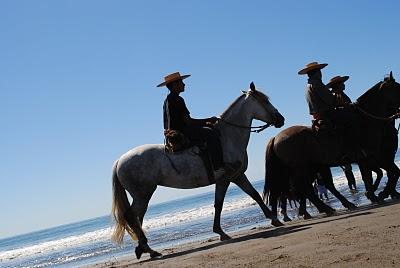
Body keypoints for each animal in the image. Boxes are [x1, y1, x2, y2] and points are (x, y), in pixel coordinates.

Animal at [110, 82, 284, 258]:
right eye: (265, 101)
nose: (281, 119)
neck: (228, 138)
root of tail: (119, 161)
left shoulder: (238, 176)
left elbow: (254, 194)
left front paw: (274, 219)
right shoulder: (224, 179)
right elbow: (219, 204)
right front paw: (220, 232)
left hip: (142, 195)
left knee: (137, 217)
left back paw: (145, 248)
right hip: (143, 194)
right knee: (132, 216)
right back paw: (147, 248)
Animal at [262, 71, 400, 216]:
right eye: (397, 87)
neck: (368, 120)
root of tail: (275, 138)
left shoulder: (370, 159)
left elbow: (380, 174)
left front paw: (377, 194)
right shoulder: (375, 157)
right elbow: (387, 174)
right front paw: (378, 195)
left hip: (312, 168)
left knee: (312, 188)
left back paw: (332, 207)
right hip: (302, 169)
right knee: (305, 189)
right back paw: (325, 208)